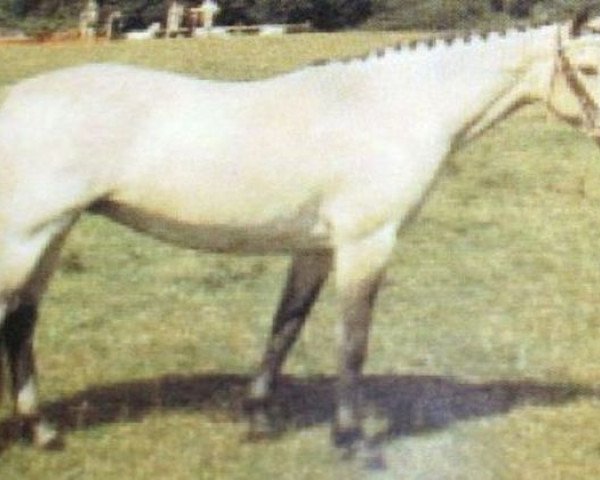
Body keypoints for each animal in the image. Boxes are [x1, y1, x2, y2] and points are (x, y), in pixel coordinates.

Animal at [1, 5, 600, 452]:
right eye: (589, 69)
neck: (394, 109)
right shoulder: (366, 243)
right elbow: (352, 342)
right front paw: (350, 438)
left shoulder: (316, 249)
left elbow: (285, 328)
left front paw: (259, 417)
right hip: (25, 238)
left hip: (52, 236)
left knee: (22, 325)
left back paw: (45, 431)